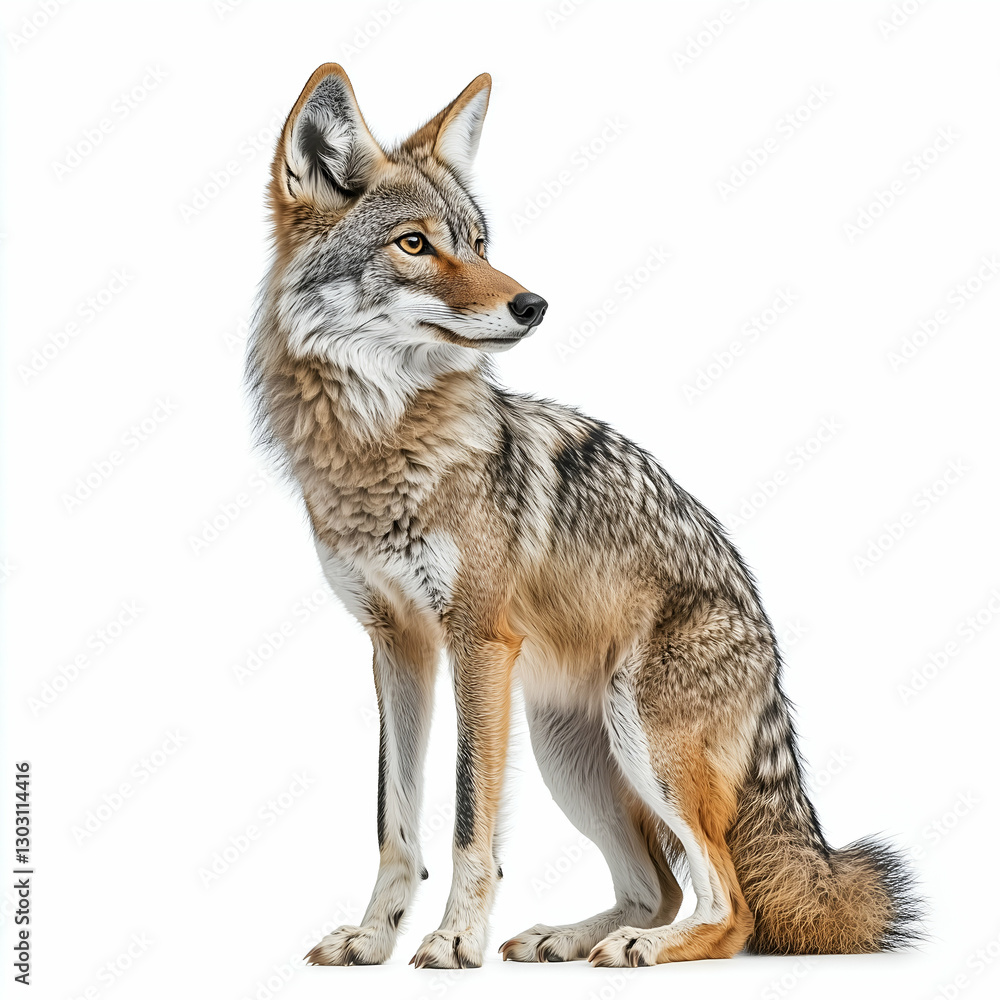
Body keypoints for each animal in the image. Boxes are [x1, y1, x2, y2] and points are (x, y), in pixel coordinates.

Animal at [246, 64, 920, 969]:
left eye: (479, 242)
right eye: (415, 245)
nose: (531, 304)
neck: (383, 446)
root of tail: (768, 642)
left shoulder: (478, 643)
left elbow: (469, 820)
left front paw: (453, 939)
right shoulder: (398, 647)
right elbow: (396, 820)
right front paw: (373, 938)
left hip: (638, 744)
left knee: (731, 908)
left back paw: (644, 947)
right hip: (567, 751)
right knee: (656, 885)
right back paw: (567, 938)